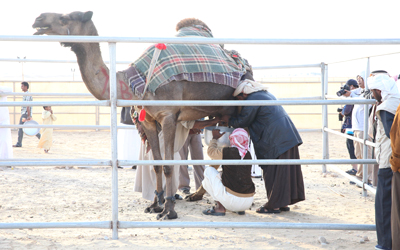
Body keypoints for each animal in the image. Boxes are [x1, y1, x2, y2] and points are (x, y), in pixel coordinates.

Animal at [32, 10, 244, 220]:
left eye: (65, 18)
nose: (38, 19)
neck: (136, 83)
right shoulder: (149, 120)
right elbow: (156, 164)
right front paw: (155, 205)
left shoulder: (168, 116)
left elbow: (169, 165)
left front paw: (169, 210)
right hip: (221, 116)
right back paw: (197, 196)